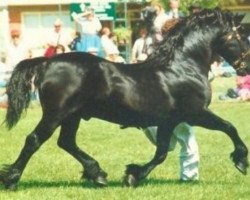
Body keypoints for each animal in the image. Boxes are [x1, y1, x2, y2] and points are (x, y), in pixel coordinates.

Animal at [0, 9, 250, 189]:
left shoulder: (168, 121)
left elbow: (160, 153)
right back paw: (11, 179)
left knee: (66, 142)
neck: (182, 68)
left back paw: (98, 174)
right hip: (56, 114)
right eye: (241, 35)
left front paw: (133, 175)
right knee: (34, 140)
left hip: (73, 116)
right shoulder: (196, 113)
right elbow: (230, 127)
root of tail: (46, 62)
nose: (245, 67)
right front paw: (241, 161)